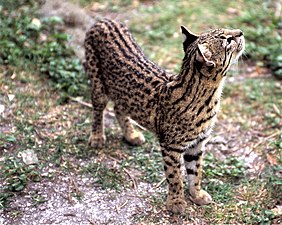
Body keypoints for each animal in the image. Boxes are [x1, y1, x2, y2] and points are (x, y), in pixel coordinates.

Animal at [83, 18, 245, 213]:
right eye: (227, 40)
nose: (241, 32)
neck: (208, 94)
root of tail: (104, 20)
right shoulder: (170, 146)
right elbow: (174, 176)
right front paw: (176, 202)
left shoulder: (197, 144)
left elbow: (196, 172)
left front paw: (196, 194)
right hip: (97, 81)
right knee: (98, 108)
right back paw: (97, 136)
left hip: (123, 93)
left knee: (119, 107)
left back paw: (131, 134)